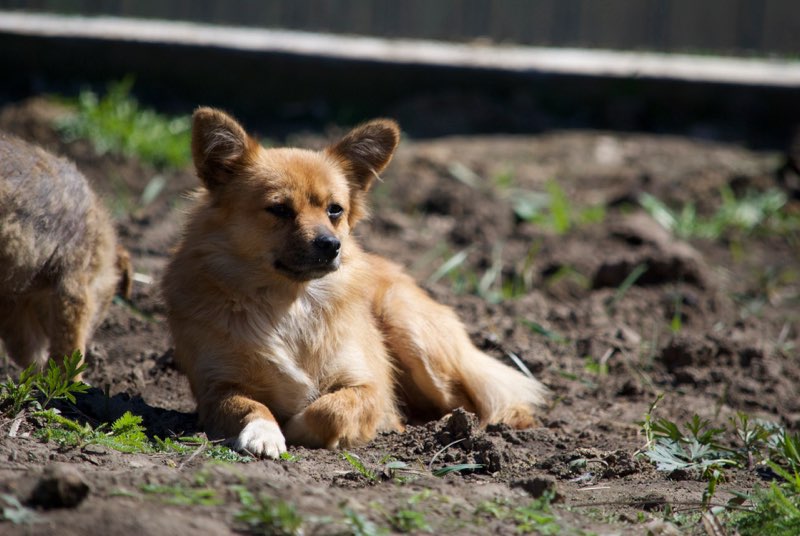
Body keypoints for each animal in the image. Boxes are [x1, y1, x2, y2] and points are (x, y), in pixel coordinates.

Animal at [0, 133, 131, 376]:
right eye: (109, 300)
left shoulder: (10, 296)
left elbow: (25, 348)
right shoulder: (73, 283)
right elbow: (68, 350)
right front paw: (68, 381)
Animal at [164, 109, 552, 456]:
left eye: (334, 210)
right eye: (279, 209)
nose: (330, 244)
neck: (289, 303)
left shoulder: (370, 386)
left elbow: (329, 409)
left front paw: (298, 428)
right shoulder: (216, 388)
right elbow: (248, 405)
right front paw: (264, 432)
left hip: (411, 332)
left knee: (472, 403)